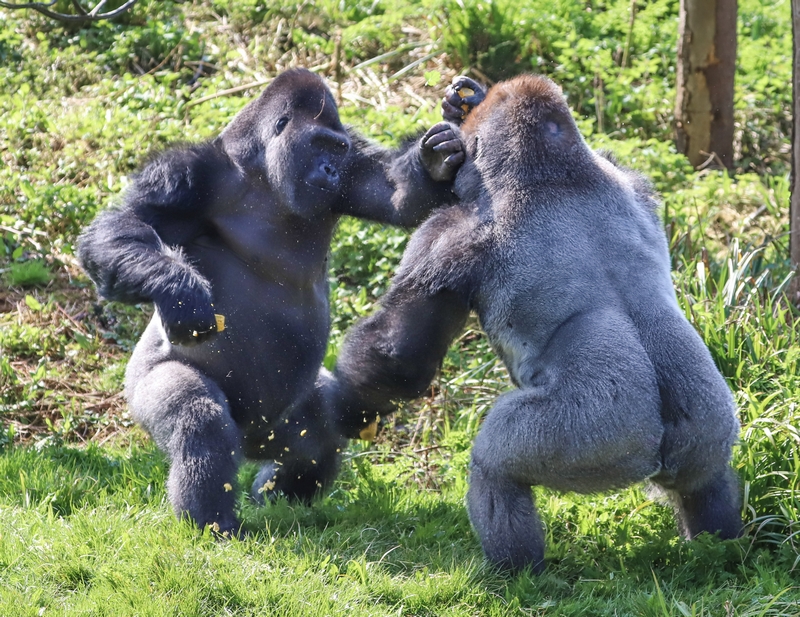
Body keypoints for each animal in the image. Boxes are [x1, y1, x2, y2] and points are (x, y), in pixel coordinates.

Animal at [76, 67, 462, 536]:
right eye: (318, 144)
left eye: (336, 149)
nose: (330, 169)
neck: (261, 171)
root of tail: (249, 441)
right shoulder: (186, 173)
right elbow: (122, 227)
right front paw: (179, 290)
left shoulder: (354, 166)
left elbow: (398, 195)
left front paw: (436, 160)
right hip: (141, 388)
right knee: (200, 419)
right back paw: (213, 521)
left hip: (280, 426)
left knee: (319, 434)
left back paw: (279, 499)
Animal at [328, 74, 740, 572]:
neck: (555, 171)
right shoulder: (630, 179)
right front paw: (461, 105)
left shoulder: (447, 236)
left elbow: (398, 357)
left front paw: (340, 407)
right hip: (710, 424)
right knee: (708, 476)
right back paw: (718, 548)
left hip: (600, 435)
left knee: (495, 466)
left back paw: (514, 569)